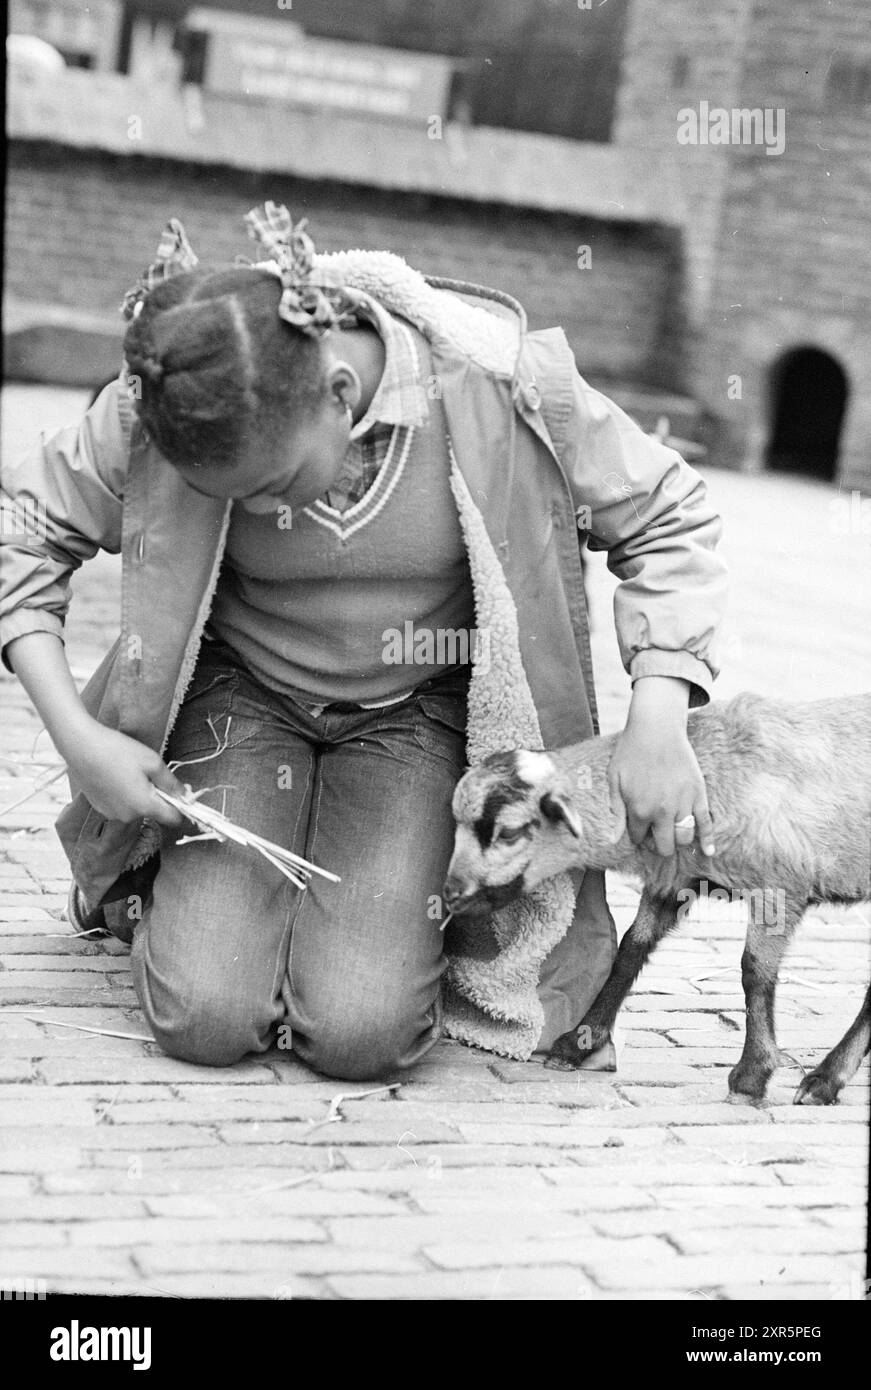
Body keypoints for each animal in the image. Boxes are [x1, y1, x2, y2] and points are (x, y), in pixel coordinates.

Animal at [447, 695, 866, 1106]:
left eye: (509, 832)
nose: (451, 895)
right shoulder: (673, 879)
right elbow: (630, 950)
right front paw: (578, 1044)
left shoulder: (780, 884)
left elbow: (755, 973)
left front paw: (751, 1076)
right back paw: (826, 1081)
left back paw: (823, 1079)